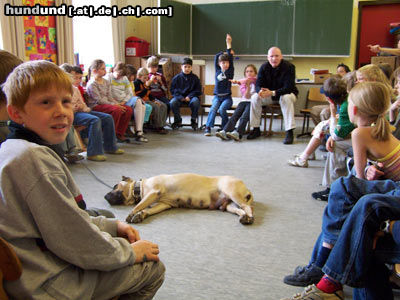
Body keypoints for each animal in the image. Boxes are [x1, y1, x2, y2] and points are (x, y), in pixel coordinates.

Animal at [104, 172, 255, 224]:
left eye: (115, 186)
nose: (105, 196)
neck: (139, 187)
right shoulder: (163, 204)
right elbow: (148, 209)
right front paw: (141, 215)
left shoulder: (153, 193)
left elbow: (139, 205)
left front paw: (133, 213)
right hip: (230, 205)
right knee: (240, 210)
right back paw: (244, 218)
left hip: (232, 193)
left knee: (247, 207)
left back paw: (249, 217)